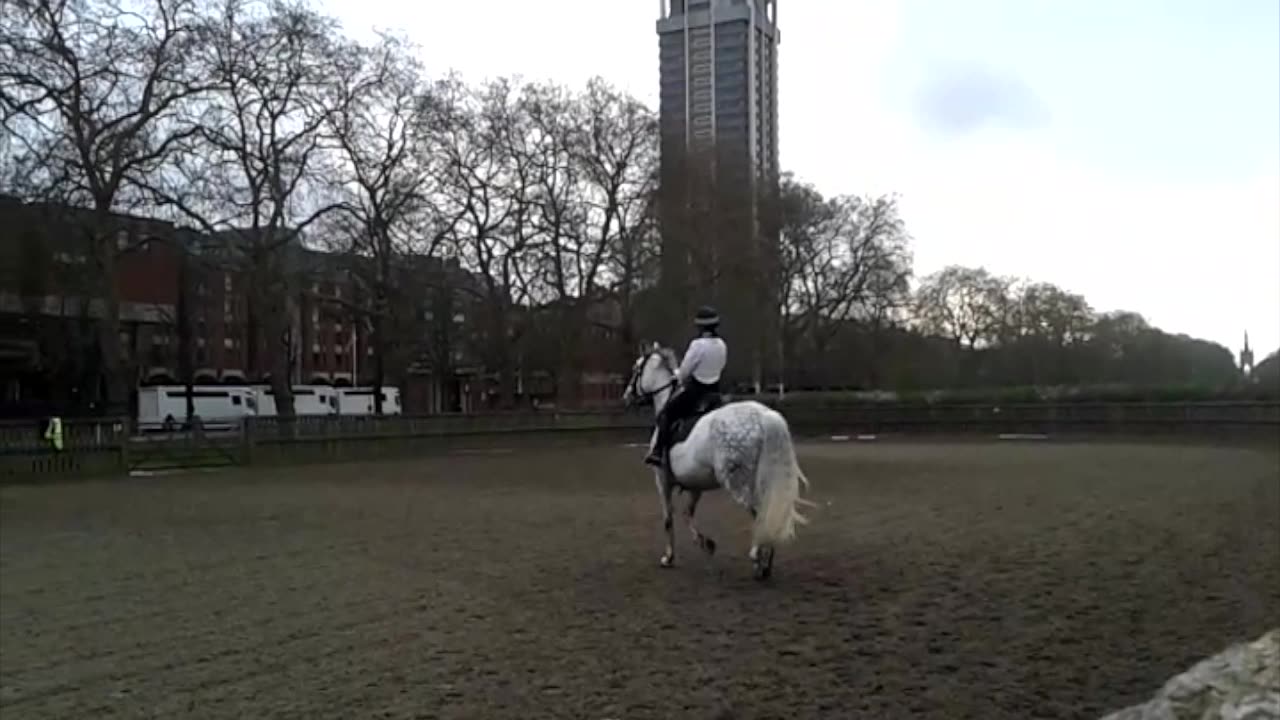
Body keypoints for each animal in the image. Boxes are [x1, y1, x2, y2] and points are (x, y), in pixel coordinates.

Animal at [619, 340, 808, 576]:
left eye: (636, 368)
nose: (626, 396)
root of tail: (764, 416)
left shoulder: (662, 480)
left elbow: (668, 519)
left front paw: (668, 557)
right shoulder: (695, 485)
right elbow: (687, 513)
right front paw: (706, 544)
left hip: (738, 483)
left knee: (759, 512)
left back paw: (757, 558)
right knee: (768, 512)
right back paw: (767, 561)